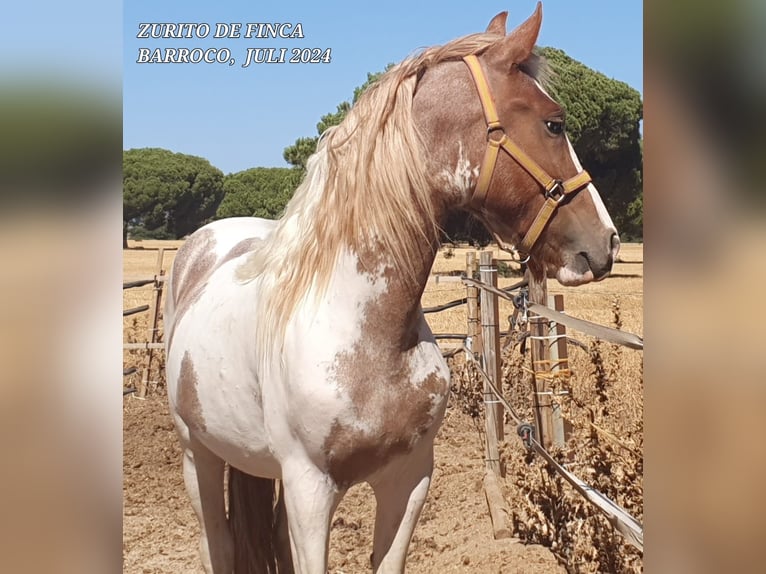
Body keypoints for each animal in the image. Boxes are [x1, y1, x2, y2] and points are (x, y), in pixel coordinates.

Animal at [165, 3, 620, 572]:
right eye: (553, 123)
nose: (607, 241)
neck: (364, 329)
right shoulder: (310, 492)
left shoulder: (409, 481)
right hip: (198, 457)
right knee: (218, 545)